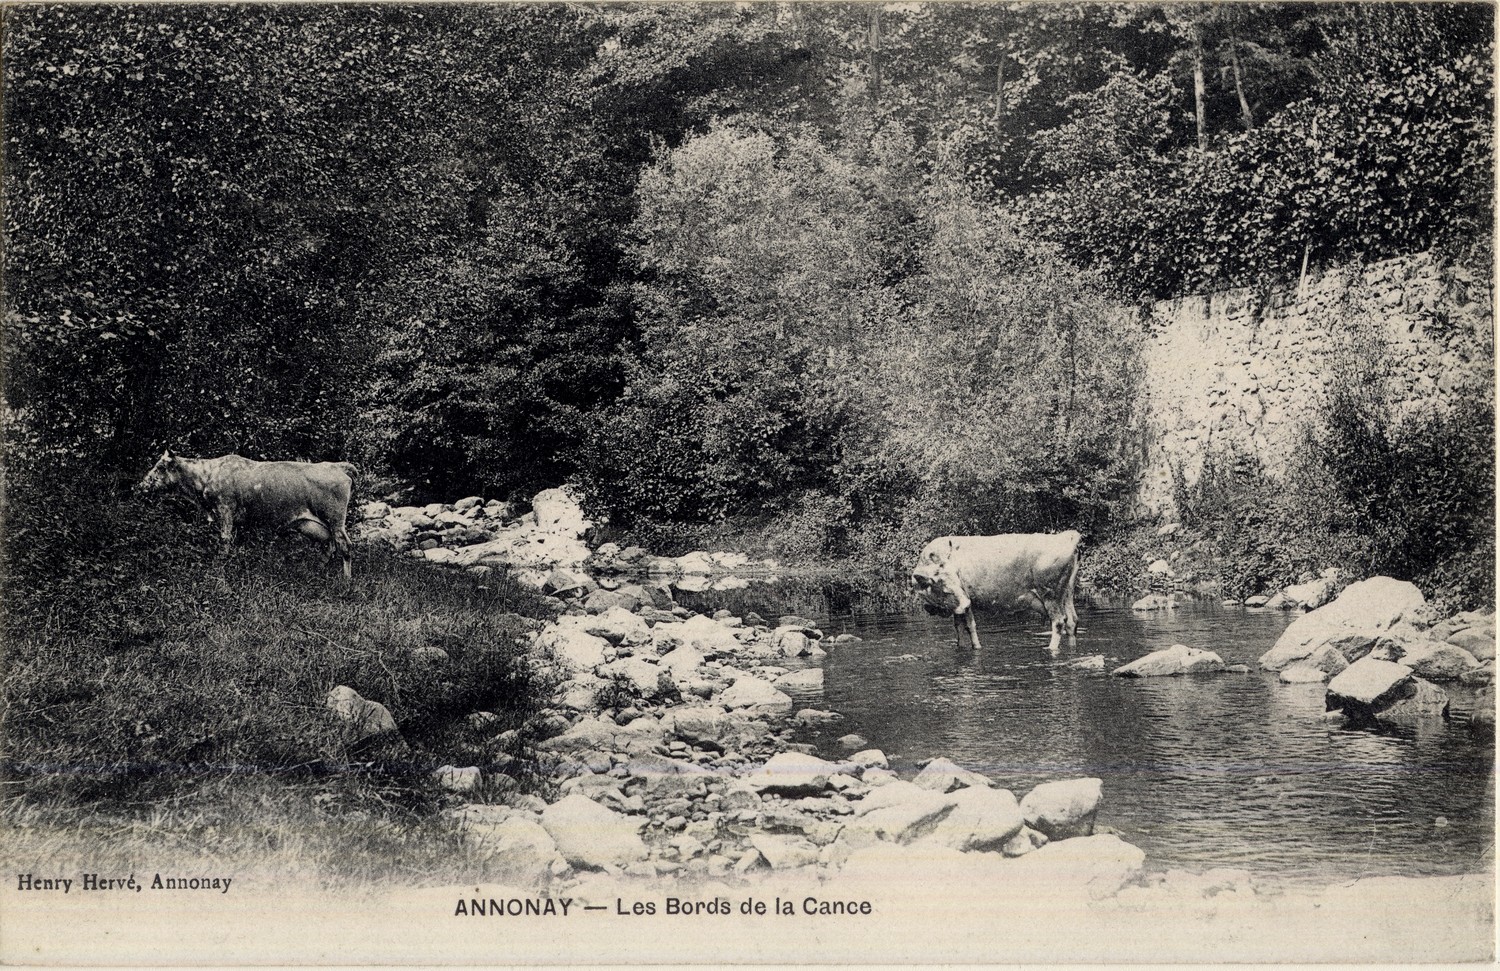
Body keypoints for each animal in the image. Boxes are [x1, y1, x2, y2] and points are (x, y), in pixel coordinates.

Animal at [135, 453, 357, 582]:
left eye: (160, 467)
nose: (142, 485)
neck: (207, 475)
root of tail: (336, 466)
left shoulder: (225, 509)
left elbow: (224, 542)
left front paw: (219, 569)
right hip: (316, 525)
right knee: (329, 545)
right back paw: (317, 571)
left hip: (335, 520)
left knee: (344, 546)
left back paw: (346, 581)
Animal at [906, 531, 1086, 654]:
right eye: (942, 582)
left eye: (955, 576)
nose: (966, 602)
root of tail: (1066, 536)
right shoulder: (956, 605)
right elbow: (959, 627)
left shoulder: (966, 600)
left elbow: (970, 626)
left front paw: (977, 647)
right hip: (1067, 593)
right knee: (1072, 621)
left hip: (1051, 594)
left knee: (1058, 622)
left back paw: (1051, 648)